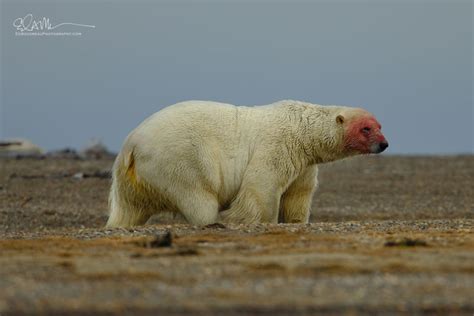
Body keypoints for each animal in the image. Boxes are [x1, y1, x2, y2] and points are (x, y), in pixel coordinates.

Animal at [107, 100, 388, 226]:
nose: (384, 144)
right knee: (198, 195)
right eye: (366, 128)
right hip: (181, 159)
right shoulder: (278, 145)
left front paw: (296, 221)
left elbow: (298, 194)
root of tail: (131, 145)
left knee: (128, 209)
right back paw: (214, 221)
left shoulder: (304, 164)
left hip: (131, 177)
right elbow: (261, 186)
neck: (303, 130)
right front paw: (255, 220)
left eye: (379, 125)